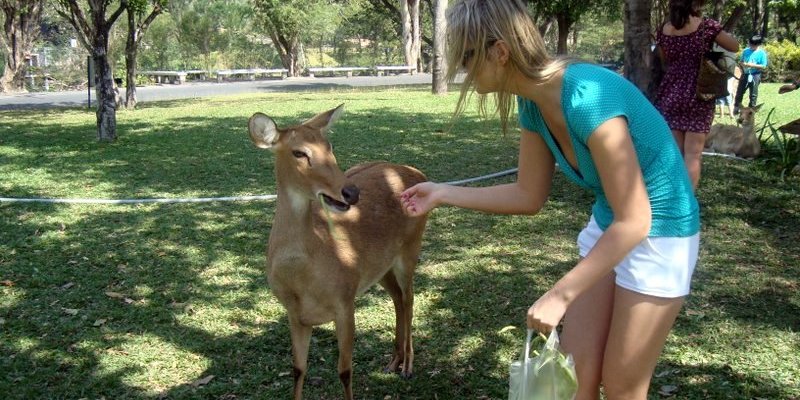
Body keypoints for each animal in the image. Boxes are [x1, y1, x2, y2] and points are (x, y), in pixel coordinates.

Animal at [247, 104, 428, 398]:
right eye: (299, 152)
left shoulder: (345, 301)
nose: (351, 192)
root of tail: (420, 174)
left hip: (410, 248)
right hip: (380, 266)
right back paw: (393, 361)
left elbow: (344, 371)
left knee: (410, 298)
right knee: (398, 298)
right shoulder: (295, 314)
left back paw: (408, 366)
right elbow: (298, 369)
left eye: (329, 146)